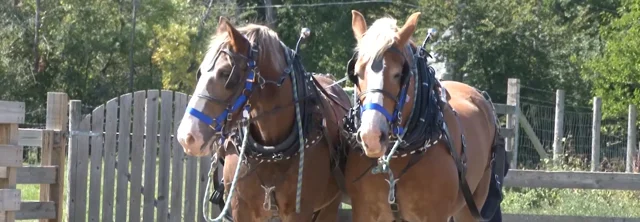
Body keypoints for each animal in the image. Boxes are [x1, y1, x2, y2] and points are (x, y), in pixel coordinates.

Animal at [178, 17, 352, 222]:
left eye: (226, 73)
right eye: (200, 72)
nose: (187, 137)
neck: (271, 149)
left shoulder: (300, 212)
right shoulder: (240, 209)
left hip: (329, 207)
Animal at [342, 10, 508, 222]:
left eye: (398, 74)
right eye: (356, 73)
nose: (372, 137)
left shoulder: (435, 215)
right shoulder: (365, 212)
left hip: (472, 204)